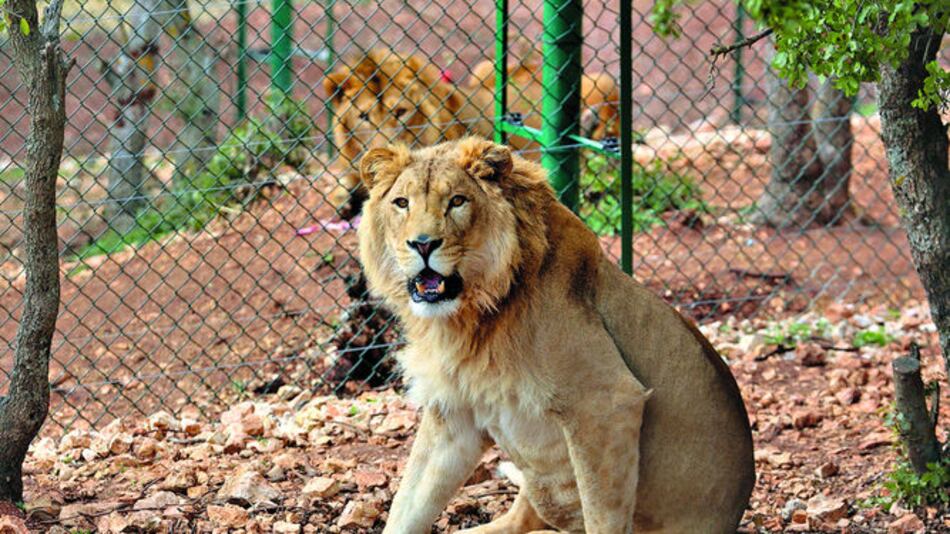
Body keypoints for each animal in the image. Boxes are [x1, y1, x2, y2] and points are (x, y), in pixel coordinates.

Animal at [357, 137, 755, 533]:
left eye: (457, 201)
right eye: (401, 203)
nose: (422, 244)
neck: (474, 317)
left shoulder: (606, 403)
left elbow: (603, 516)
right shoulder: (454, 415)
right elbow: (408, 504)